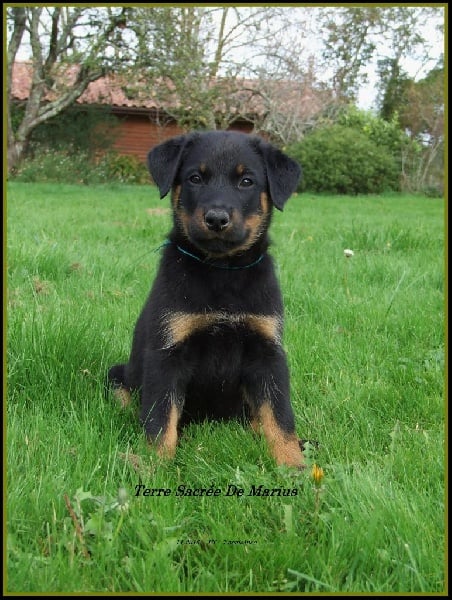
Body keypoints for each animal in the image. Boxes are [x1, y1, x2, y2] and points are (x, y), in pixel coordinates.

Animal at [107, 131, 304, 468]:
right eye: (195, 178)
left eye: (247, 181)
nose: (216, 218)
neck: (222, 271)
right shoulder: (166, 353)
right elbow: (160, 418)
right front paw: (154, 465)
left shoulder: (267, 352)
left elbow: (279, 414)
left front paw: (293, 464)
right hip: (119, 376)